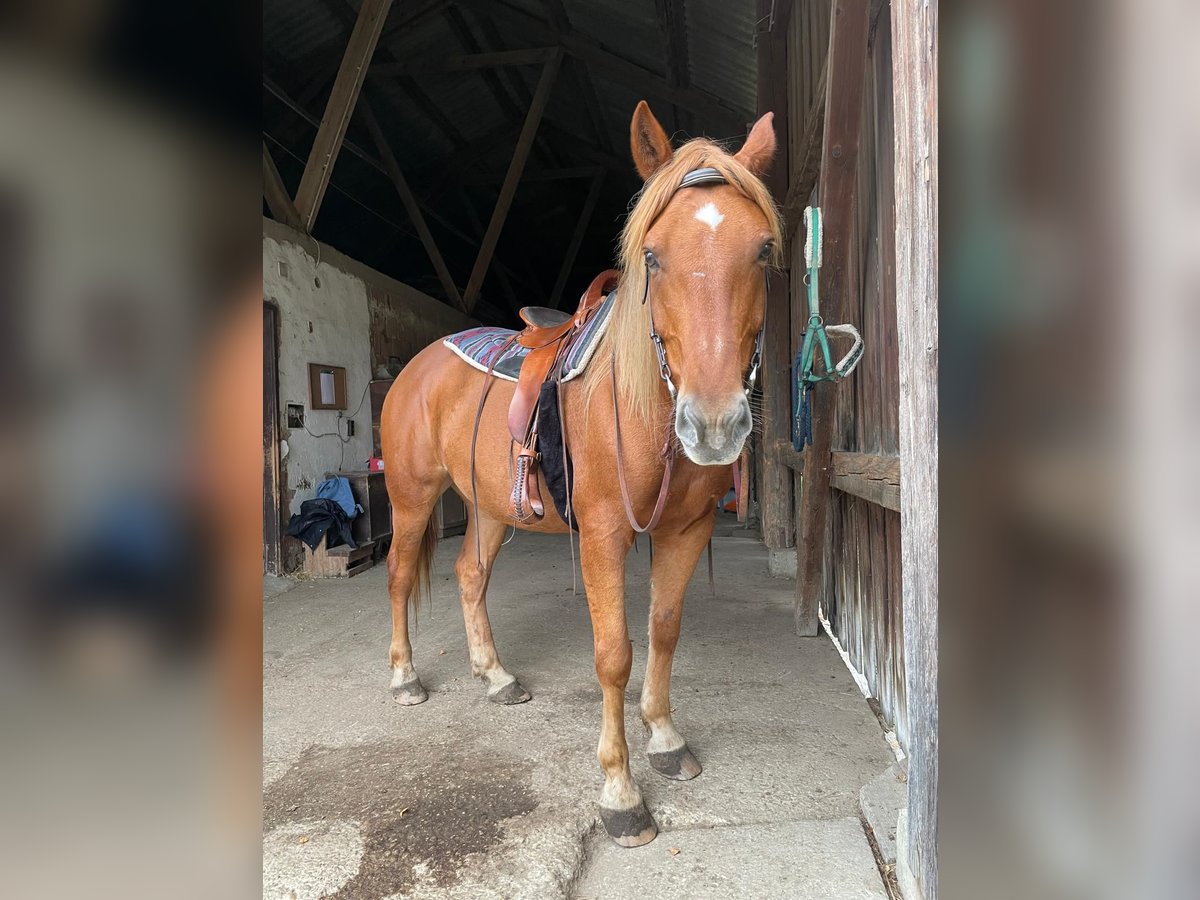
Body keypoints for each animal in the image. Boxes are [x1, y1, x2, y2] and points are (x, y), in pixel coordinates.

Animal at [379, 102, 782, 849]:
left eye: (764, 250)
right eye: (652, 255)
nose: (714, 424)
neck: (645, 404)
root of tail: (417, 365)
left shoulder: (686, 530)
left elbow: (663, 630)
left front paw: (665, 740)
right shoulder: (601, 536)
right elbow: (614, 654)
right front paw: (621, 793)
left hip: (491, 507)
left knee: (469, 575)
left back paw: (496, 675)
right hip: (412, 498)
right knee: (397, 577)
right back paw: (404, 678)